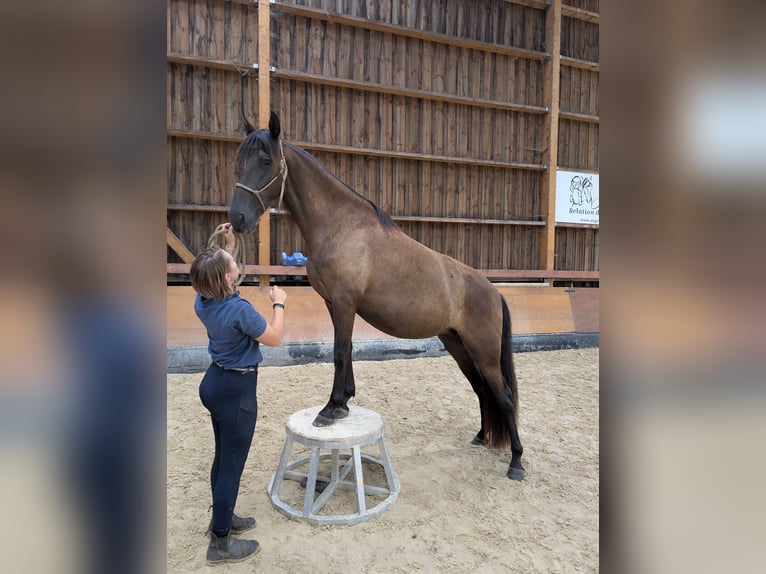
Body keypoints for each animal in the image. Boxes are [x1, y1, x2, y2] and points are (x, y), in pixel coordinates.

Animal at [229, 112, 525, 480]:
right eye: (239, 161)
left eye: (266, 161)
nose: (237, 218)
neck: (339, 225)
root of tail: (493, 291)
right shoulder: (334, 303)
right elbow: (346, 350)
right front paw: (343, 402)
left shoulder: (345, 302)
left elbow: (340, 352)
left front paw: (330, 409)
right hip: (458, 345)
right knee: (483, 389)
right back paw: (482, 437)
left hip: (483, 351)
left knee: (504, 395)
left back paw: (516, 461)